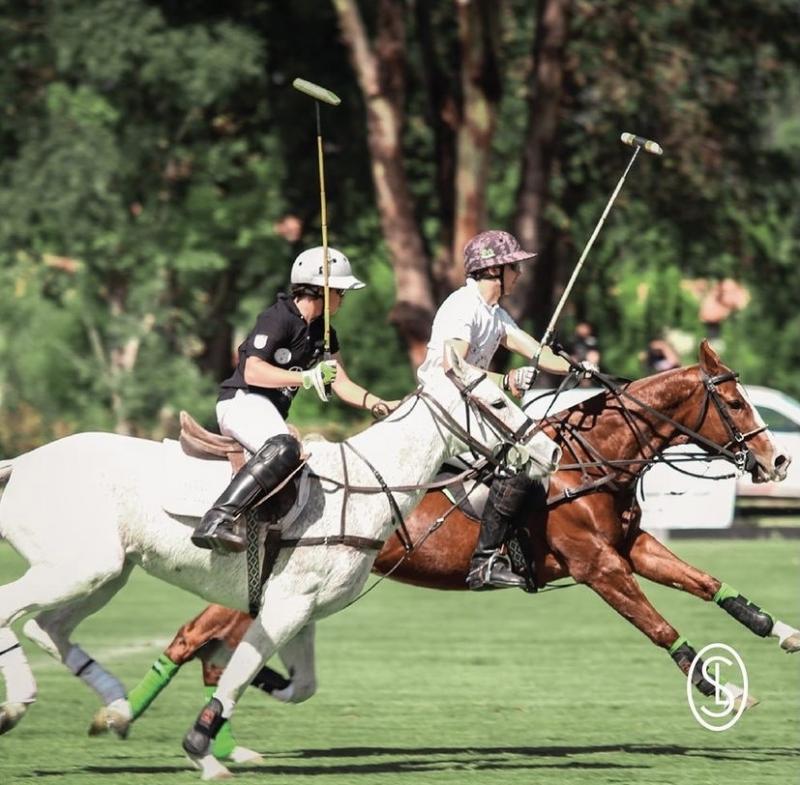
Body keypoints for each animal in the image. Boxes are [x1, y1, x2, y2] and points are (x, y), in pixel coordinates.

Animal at [0, 350, 564, 776]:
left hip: (108, 574)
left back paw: (114, 710)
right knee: (12, 609)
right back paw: (19, 704)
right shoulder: (287, 606)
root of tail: (19, 463)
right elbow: (240, 671)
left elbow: (293, 682)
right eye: (497, 400)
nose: (552, 453)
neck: (365, 484)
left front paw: (222, 723)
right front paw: (202, 750)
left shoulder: (301, 610)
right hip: (80, 568)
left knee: (48, 628)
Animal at [92, 344, 792, 760]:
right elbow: (661, 626)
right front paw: (723, 689)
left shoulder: (633, 548)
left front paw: (783, 632)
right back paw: (125, 718)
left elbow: (708, 583)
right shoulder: (599, 566)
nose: (776, 459)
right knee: (195, 639)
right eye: (733, 401)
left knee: (218, 651)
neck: (590, 459)